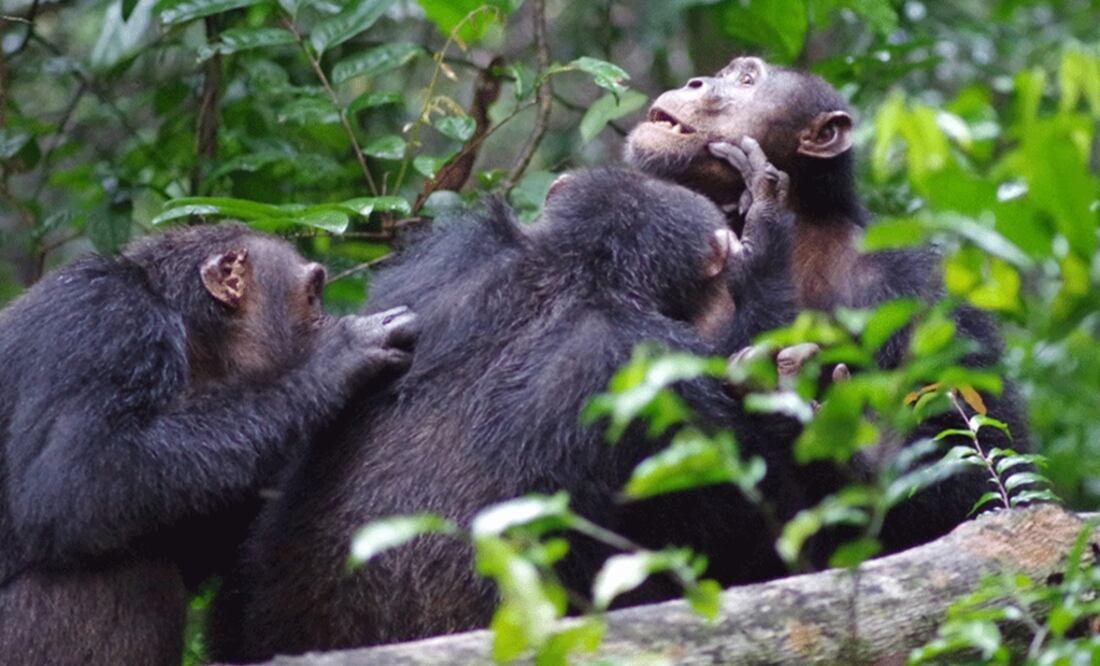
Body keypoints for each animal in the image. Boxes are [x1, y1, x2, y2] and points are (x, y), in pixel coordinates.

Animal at [0, 223, 417, 666]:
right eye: (311, 295)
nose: (326, 315)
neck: (189, 333)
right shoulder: (105, 321)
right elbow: (77, 469)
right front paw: (335, 356)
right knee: (129, 572)